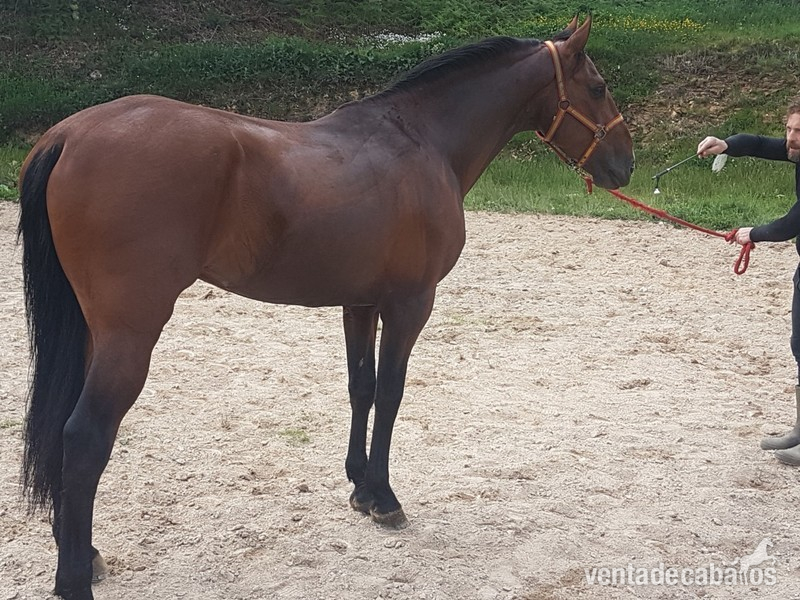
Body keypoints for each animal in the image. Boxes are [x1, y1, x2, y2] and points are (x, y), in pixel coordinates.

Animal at [17, 15, 633, 600]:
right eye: (598, 87)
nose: (625, 165)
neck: (420, 140)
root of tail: (69, 134)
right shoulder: (410, 304)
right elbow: (391, 392)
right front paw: (385, 498)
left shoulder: (359, 302)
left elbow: (361, 387)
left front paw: (361, 487)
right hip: (130, 333)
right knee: (85, 436)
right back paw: (73, 578)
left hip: (91, 331)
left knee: (62, 428)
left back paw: (86, 552)